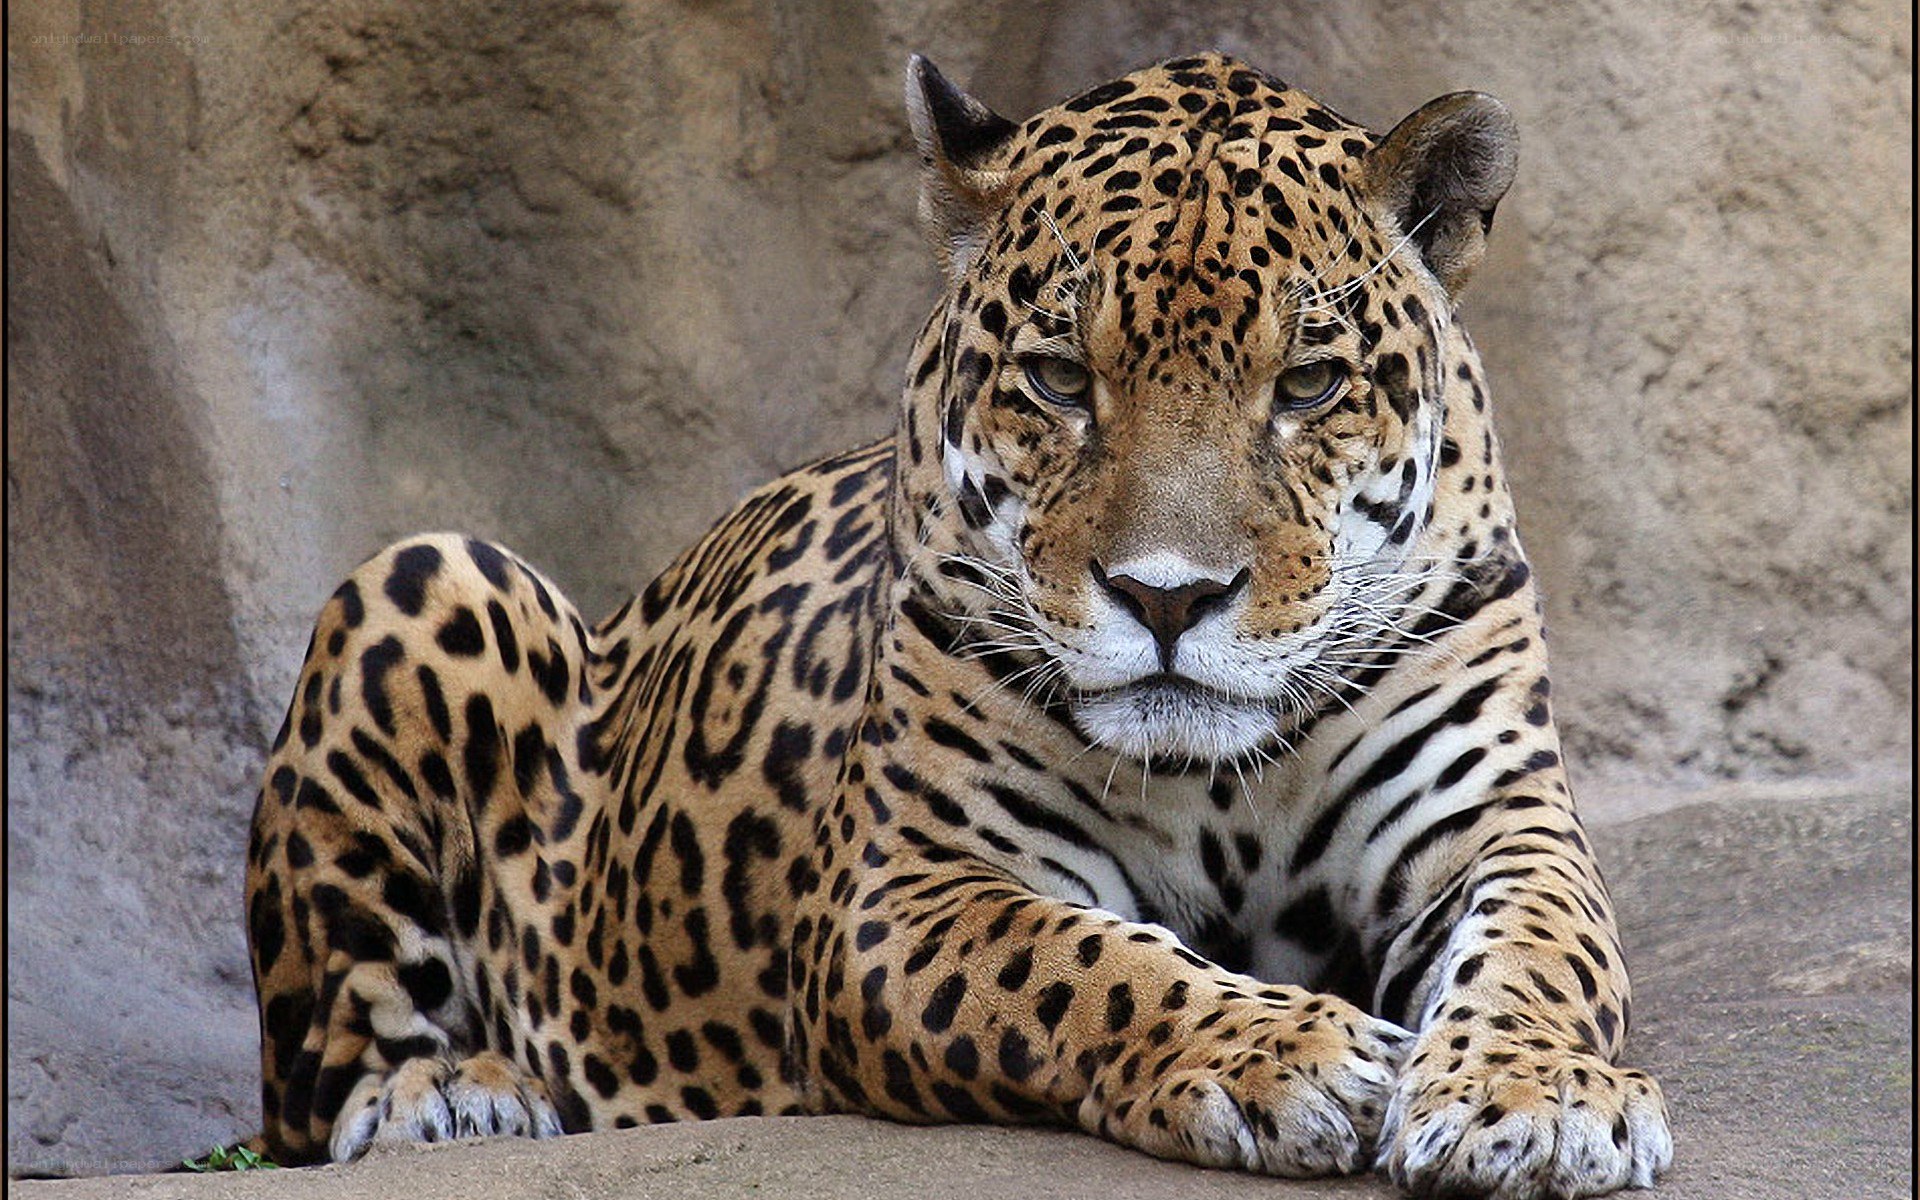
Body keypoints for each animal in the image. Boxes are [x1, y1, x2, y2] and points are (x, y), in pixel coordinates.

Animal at [244, 52, 1673, 1197]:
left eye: (1310, 385)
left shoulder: (1494, 821)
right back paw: (456, 1099)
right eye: (1058, 378)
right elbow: (1085, 965)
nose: (1168, 597)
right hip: (425, 575)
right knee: (319, 1085)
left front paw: (1533, 1098)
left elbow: (1548, 952)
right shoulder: (908, 889)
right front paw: (1289, 1054)